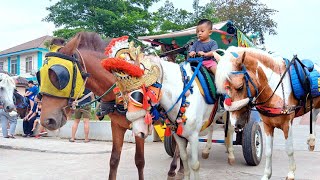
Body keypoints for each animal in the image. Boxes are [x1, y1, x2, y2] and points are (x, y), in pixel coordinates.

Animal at [38, 32, 146, 180]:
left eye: (59, 77)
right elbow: (114, 160)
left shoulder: (140, 126)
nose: (47, 121)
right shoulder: (117, 125)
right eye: (39, 76)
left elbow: (139, 161)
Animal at [215, 46, 320, 180]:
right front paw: (266, 174)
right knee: (314, 115)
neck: (276, 89)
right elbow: (268, 151)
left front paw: (291, 173)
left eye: (240, 87)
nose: (236, 124)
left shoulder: (287, 124)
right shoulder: (267, 125)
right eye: (224, 89)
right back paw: (311, 141)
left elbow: (289, 149)